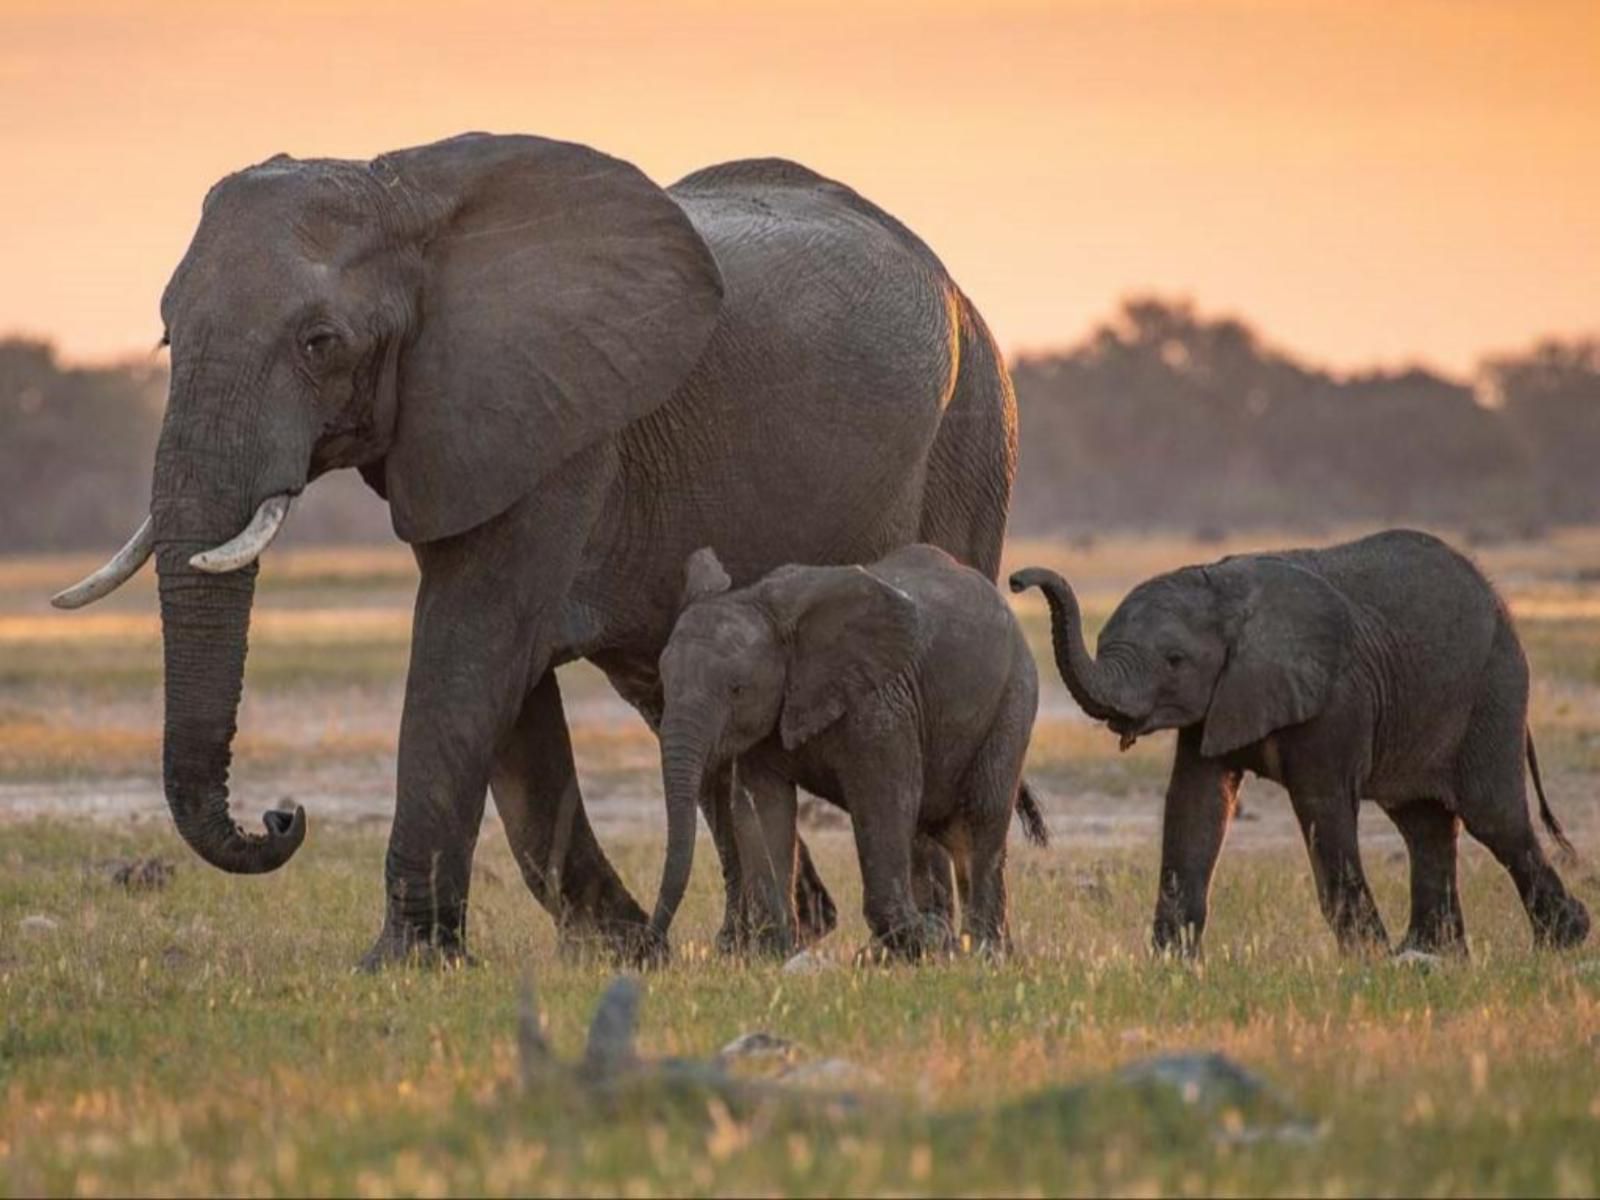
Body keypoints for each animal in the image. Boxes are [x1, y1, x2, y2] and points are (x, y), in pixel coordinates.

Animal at [643, 550, 1043, 966]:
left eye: (737, 689)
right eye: (664, 682)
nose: (651, 948)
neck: (761, 603)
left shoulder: (880, 703)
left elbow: (882, 801)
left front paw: (932, 941)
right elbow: (761, 809)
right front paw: (771, 957)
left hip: (1013, 696)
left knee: (981, 817)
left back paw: (981, 953)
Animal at [1011, 531, 1587, 966]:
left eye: (1174, 660)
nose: (1016, 580)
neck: (1224, 589)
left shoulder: (1337, 697)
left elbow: (1322, 807)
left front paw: (1365, 959)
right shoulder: (1221, 699)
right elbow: (1196, 804)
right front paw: (1171, 964)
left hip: (1493, 687)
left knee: (1494, 817)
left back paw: (1563, 941)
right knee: (1423, 824)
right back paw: (1433, 955)